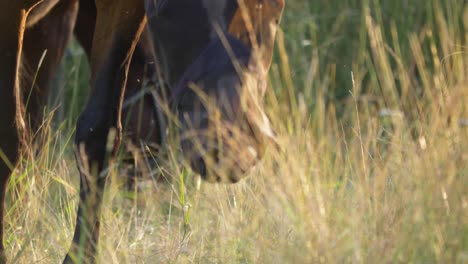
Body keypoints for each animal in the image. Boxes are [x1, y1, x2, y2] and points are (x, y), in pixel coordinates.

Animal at [0, 0, 286, 262]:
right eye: (163, 10)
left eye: (275, 7)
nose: (233, 150)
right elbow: (10, 140)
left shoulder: (118, 12)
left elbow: (97, 135)